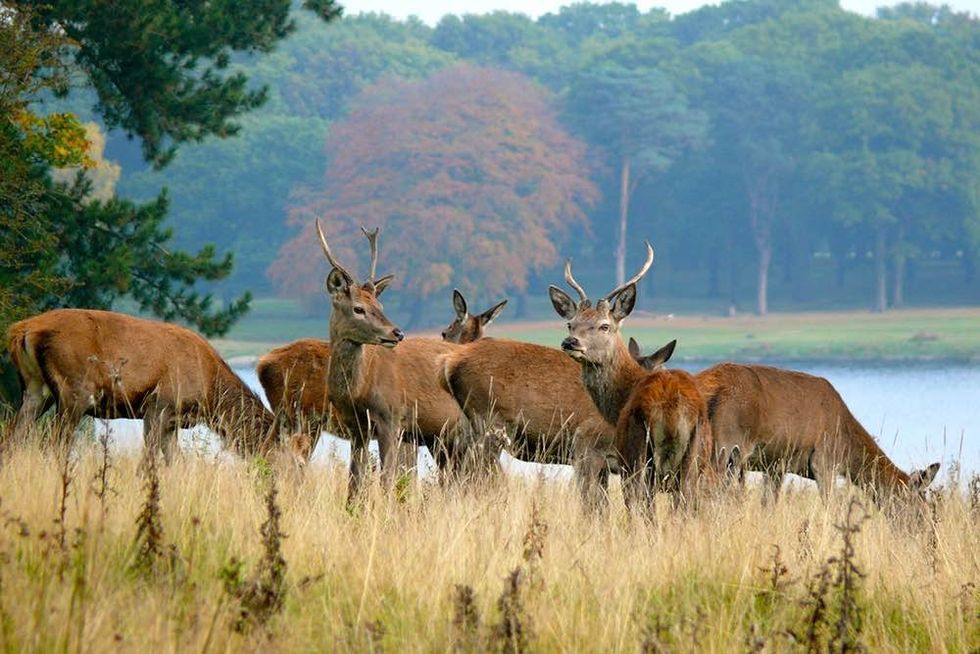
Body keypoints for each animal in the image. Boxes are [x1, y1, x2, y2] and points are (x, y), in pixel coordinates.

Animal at [5, 308, 290, 461]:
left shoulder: (172, 421)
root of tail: (22, 330)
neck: (209, 396)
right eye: (289, 458)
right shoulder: (159, 405)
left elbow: (175, 462)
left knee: (12, 435)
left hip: (35, 388)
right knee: (52, 443)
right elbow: (149, 460)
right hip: (74, 391)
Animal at [314, 221, 482, 504]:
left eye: (380, 305)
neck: (358, 390)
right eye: (358, 308)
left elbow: (387, 480)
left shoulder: (391, 416)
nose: (397, 333)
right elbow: (354, 483)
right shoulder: (356, 427)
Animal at [548, 245, 715, 512]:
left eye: (604, 326)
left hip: (638, 455)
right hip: (693, 459)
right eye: (570, 324)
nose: (570, 342)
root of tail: (673, 410)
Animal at [628, 340, 942, 506]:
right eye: (920, 504)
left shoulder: (776, 464)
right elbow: (830, 505)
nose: (927, 534)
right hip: (723, 442)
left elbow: (770, 502)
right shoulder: (824, 460)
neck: (846, 442)